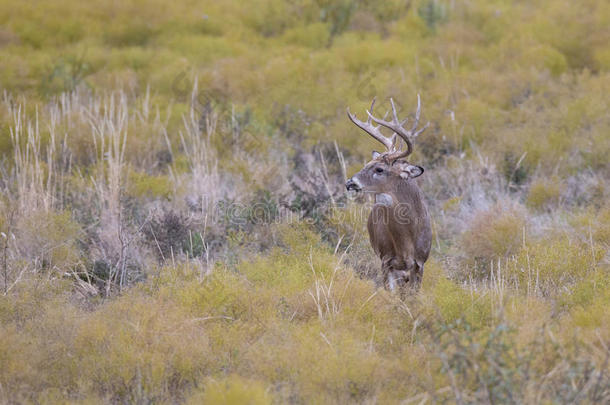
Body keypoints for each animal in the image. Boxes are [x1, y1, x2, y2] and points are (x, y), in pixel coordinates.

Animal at [344, 95, 430, 290]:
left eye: (379, 169)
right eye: (366, 163)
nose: (349, 183)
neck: (406, 242)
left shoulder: (420, 262)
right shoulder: (386, 260)